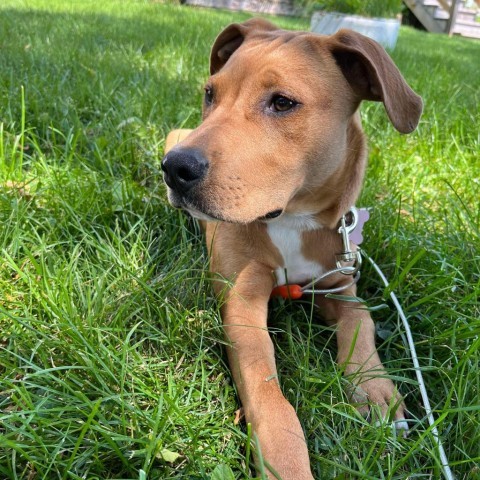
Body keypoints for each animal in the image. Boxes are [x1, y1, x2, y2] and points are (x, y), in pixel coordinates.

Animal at [163, 19, 422, 480]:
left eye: (282, 102)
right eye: (210, 93)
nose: (175, 169)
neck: (291, 218)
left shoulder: (340, 286)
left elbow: (362, 324)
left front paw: (375, 388)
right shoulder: (242, 301)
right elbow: (265, 386)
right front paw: (285, 456)